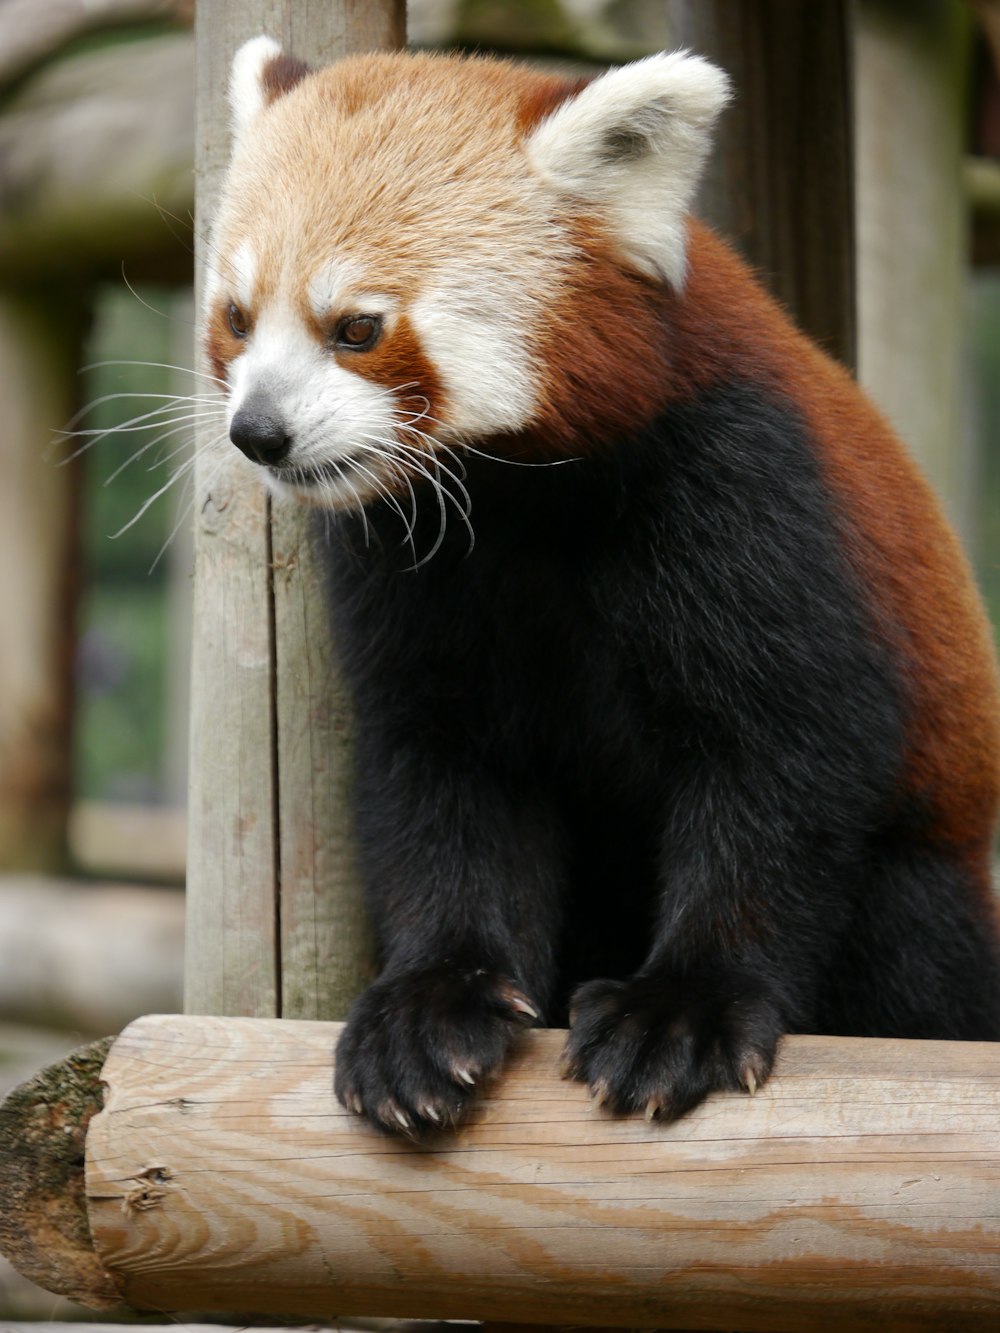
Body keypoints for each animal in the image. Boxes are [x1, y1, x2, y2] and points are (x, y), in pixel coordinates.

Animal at [204, 33, 1000, 1135]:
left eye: (357, 328)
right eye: (238, 319)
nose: (259, 432)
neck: (523, 503)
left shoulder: (744, 489)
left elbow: (786, 758)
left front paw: (685, 1006)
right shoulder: (408, 568)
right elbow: (443, 774)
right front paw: (433, 1002)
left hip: (929, 881)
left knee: (909, 936)